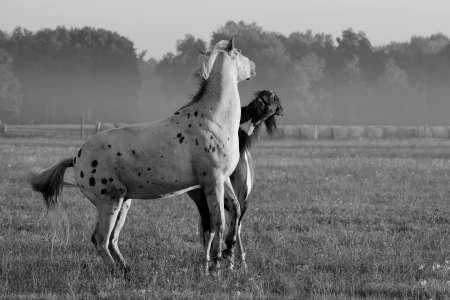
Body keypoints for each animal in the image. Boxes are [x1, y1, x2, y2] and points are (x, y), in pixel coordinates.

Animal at [28, 37, 255, 276]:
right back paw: (117, 272)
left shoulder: (223, 180)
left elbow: (235, 211)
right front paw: (215, 266)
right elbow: (217, 222)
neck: (213, 119)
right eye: (240, 52)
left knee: (112, 239)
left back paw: (126, 269)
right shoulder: (213, 182)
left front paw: (229, 256)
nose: (253, 67)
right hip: (109, 202)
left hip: (123, 202)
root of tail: (75, 158)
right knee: (100, 240)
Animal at [188, 89, 284, 270]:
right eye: (274, 98)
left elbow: (233, 229)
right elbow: (211, 231)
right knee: (209, 229)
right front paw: (209, 264)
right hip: (201, 201)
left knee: (234, 228)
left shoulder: (241, 202)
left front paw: (231, 262)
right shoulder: (207, 200)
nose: (281, 109)